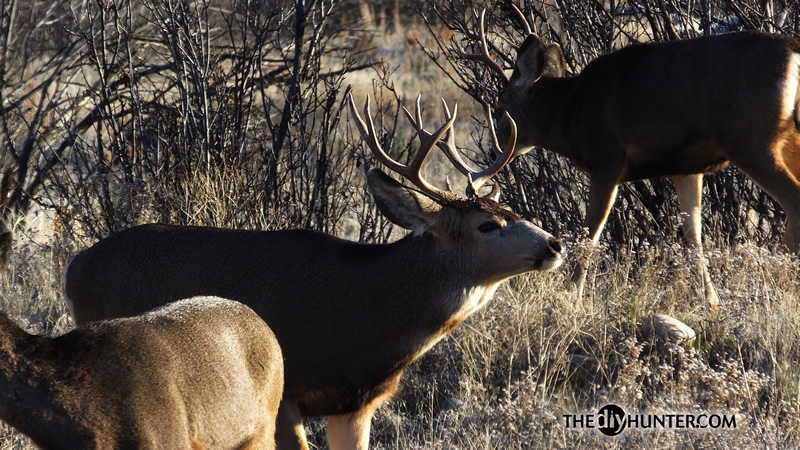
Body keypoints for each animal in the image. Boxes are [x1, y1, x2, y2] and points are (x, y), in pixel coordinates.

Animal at [64, 93, 564, 448]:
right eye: (488, 225)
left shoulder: (356, 404)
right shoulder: (285, 393)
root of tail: (75, 267)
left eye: (511, 208)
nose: (555, 244)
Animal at [466, 7, 800, 310]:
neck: (569, 112)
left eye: (500, 106)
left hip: (750, 139)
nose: (496, 149)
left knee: (793, 200)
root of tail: (793, 50)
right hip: (783, 138)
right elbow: (693, 235)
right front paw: (711, 301)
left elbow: (589, 234)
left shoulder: (606, 159)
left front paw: (570, 297)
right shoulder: (685, 166)